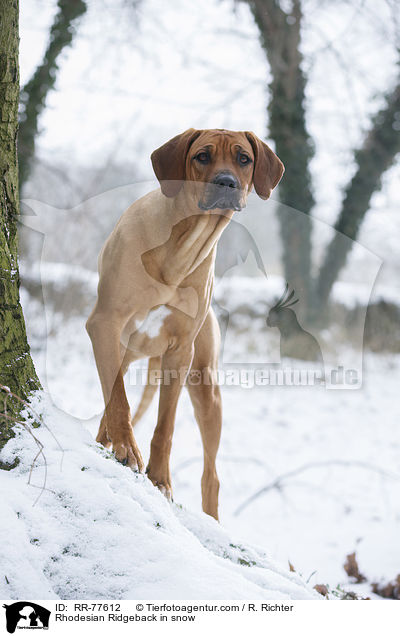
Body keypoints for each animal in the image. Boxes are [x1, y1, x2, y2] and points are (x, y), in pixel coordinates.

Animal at [86, 126, 282, 520]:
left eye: (244, 159)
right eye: (202, 156)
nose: (226, 183)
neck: (181, 247)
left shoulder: (180, 352)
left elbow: (166, 425)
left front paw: (160, 479)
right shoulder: (104, 325)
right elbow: (118, 399)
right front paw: (126, 447)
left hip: (206, 387)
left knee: (212, 477)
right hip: (124, 350)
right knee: (114, 396)